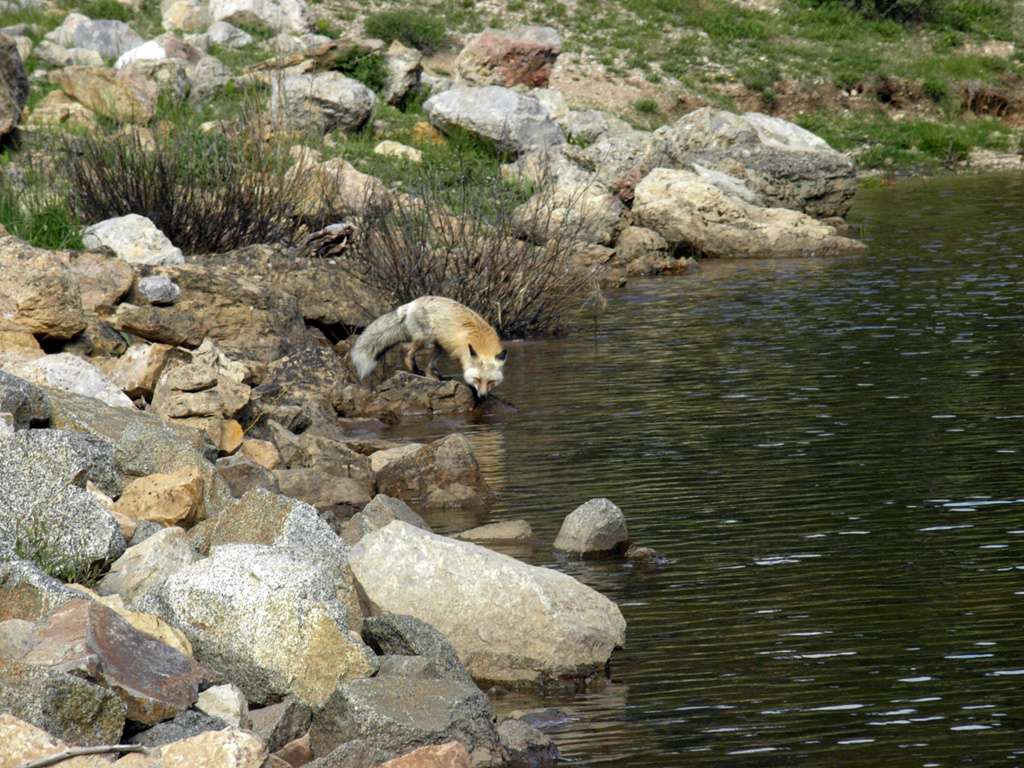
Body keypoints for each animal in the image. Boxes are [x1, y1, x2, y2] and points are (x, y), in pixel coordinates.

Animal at [350, 296, 507, 399]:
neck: (482, 343)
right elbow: (465, 374)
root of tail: (413, 302)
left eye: (490, 382)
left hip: (439, 343)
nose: (482, 396)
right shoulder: (460, 354)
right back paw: (416, 370)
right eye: (477, 379)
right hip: (427, 337)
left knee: (429, 366)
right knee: (407, 355)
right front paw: (473, 391)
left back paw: (441, 378)